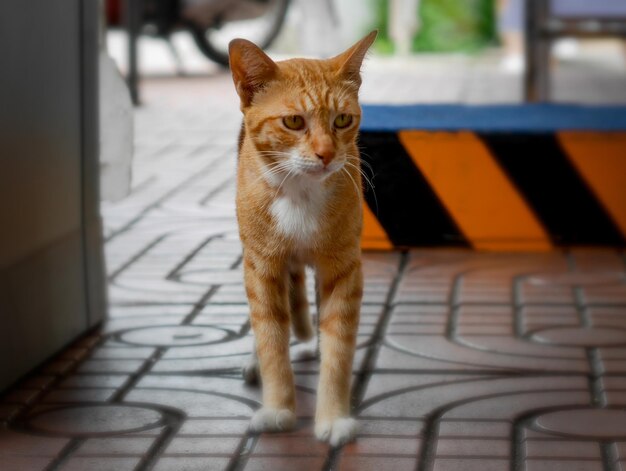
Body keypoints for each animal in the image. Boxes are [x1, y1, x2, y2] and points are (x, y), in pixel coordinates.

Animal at [229, 30, 376, 446]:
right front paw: (277, 409)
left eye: (342, 119)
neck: (299, 194)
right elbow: (271, 338)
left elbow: (338, 348)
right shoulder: (262, 267)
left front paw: (334, 418)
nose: (326, 154)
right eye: (294, 121)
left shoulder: (344, 269)